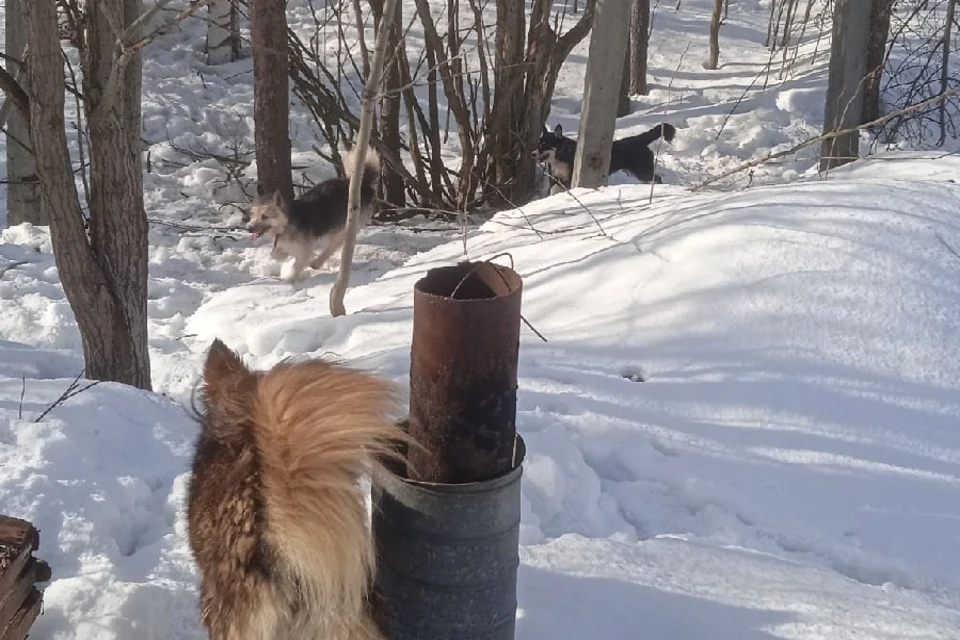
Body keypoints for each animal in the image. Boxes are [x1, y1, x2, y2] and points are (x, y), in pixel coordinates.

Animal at [248, 148, 378, 282]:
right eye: (252, 214)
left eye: (264, 216)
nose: (249, 228)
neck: (286, 223)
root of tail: (364, 186)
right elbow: (275, 254)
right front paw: (282, 256)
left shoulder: (304, 252)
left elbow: (296, 266)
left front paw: (289, 279)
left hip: (344, 227)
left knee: (333, 246)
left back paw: (317, 262)